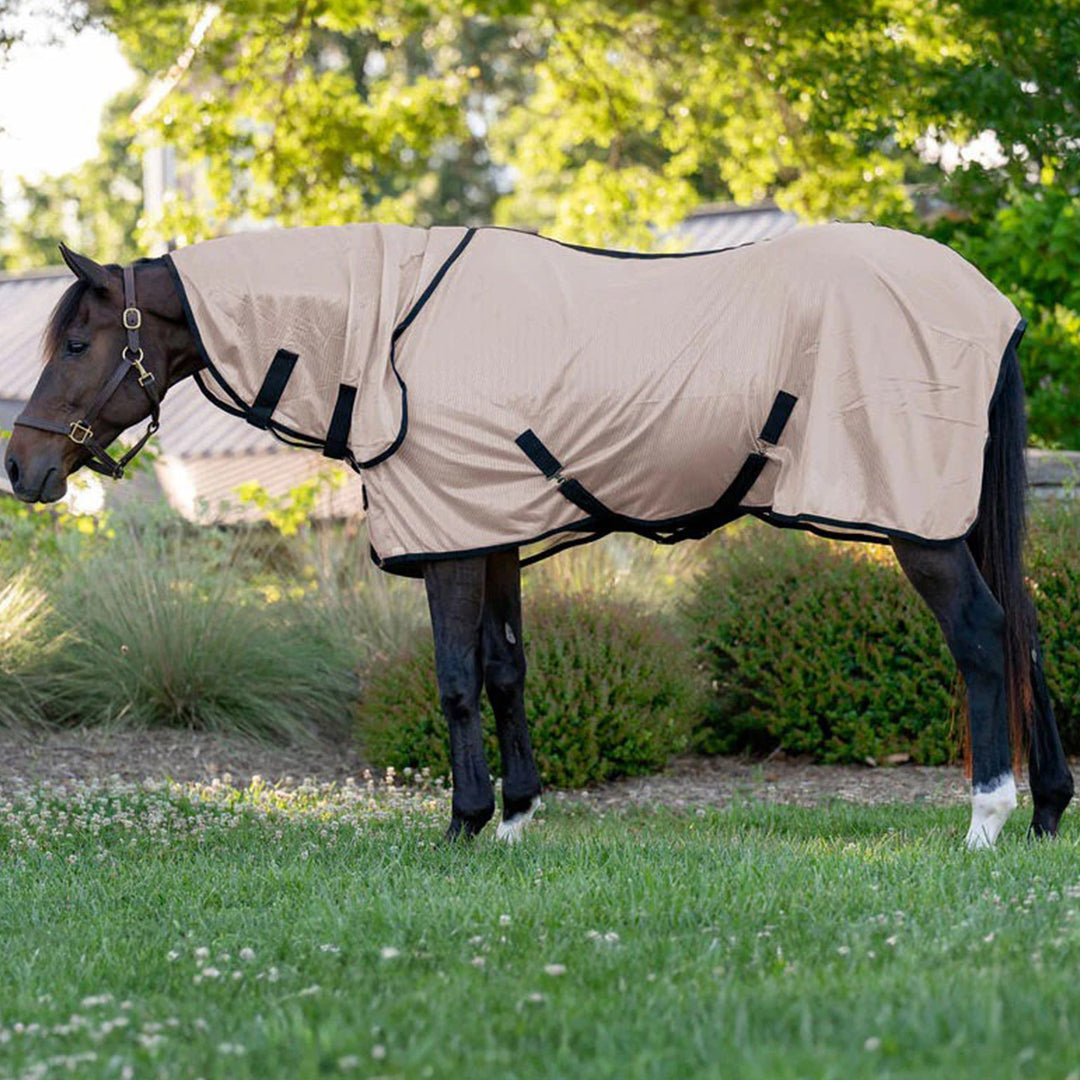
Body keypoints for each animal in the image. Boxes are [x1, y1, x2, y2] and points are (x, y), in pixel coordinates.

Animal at [4, 225, 1073, 848]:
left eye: (77, 343)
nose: (21, 468)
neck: (386, 334)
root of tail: (991, 306)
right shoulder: (492, 528)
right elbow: (506, 668)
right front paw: (517, 818)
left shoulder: (448, 537)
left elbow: (452, 677)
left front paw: (463, 826)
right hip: (960, 517)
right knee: (1024, 631)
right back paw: (1048, 810)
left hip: (916, 524)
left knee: (982, 637)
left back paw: (988, 817)